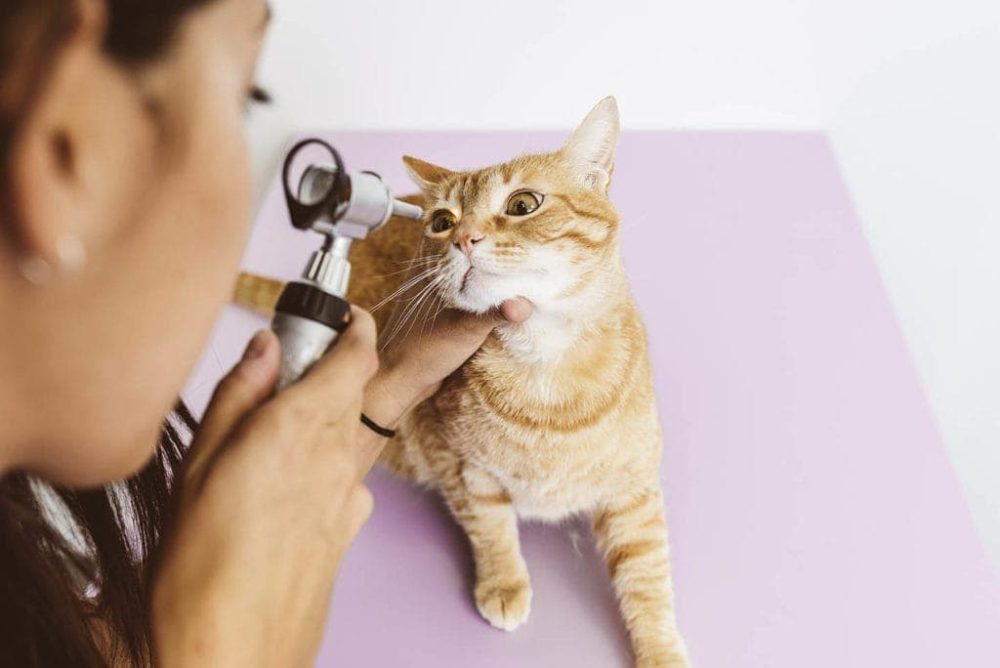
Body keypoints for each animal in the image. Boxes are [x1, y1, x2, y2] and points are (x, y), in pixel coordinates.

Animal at [234, 96, 688, 664]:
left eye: (523, 204)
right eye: (442, 221)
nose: (463, 239)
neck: (543, 368)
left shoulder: (634, 490)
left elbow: (648, 577)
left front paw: (662, 650)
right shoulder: (457, 465)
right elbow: (491, 526)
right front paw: (504, 583)